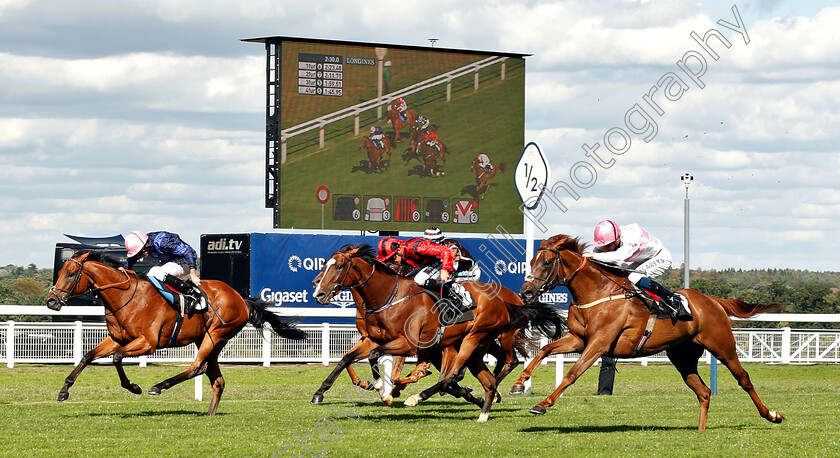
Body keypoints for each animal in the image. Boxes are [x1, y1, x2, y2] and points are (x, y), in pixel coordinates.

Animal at [42, 250, 306, 416]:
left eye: (70, 274)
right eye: (61, 272)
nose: (51, 301)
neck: (125, 296)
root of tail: (241, 298)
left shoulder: (147, 343)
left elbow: (117, 358)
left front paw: (134, 387)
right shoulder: (118, 338)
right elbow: (87, 356)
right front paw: (64, 391)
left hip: (216, 334)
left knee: (197, 367)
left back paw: (159, 386)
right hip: (207, 340)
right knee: (216, 379)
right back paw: (209, 414)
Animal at [312, 243, 560, 422]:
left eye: (339, 266)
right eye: (325, 264)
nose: (318, 291)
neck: (389, 297)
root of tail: (504, 303)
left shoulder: (408, 344)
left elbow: (377, 359)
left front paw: (384, 390)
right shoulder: (373, 339)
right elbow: (346, 359)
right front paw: (320, 393)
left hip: (476, 339)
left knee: (468, 371)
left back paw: (418, 397)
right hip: (475, 347)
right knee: (484, 377)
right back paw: (484, 406)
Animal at [516, 234, 784, 432]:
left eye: (547, 262)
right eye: (530, 262)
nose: (526, 292)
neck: (598, 292)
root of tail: (711, 301)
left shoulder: (600, 342)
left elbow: (572, 373)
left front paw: (542, 404)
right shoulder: (578, 339)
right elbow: (545, 349)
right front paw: (519, 383)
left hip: (722, 346)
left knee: (743, 378)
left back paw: (772, 415)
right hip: (682, 356)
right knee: (703, 391)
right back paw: (700, 430)